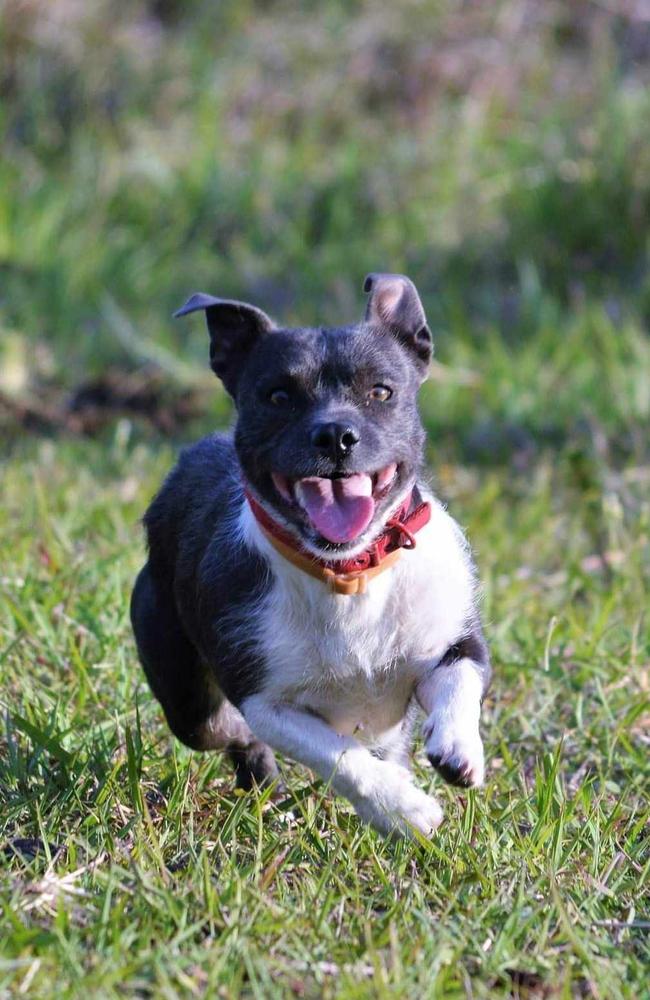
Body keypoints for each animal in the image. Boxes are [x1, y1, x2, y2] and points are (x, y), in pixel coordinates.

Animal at [129, 274, 488, 836]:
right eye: (278, 395)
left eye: (381, 391)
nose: (336, 434)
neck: (346, 573)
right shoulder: (267, 702)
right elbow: (341, 756)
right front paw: (402, 809)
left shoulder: (454, 640)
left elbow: (459, 682)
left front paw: (456, 748)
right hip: (188, 695)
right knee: (228, 731)